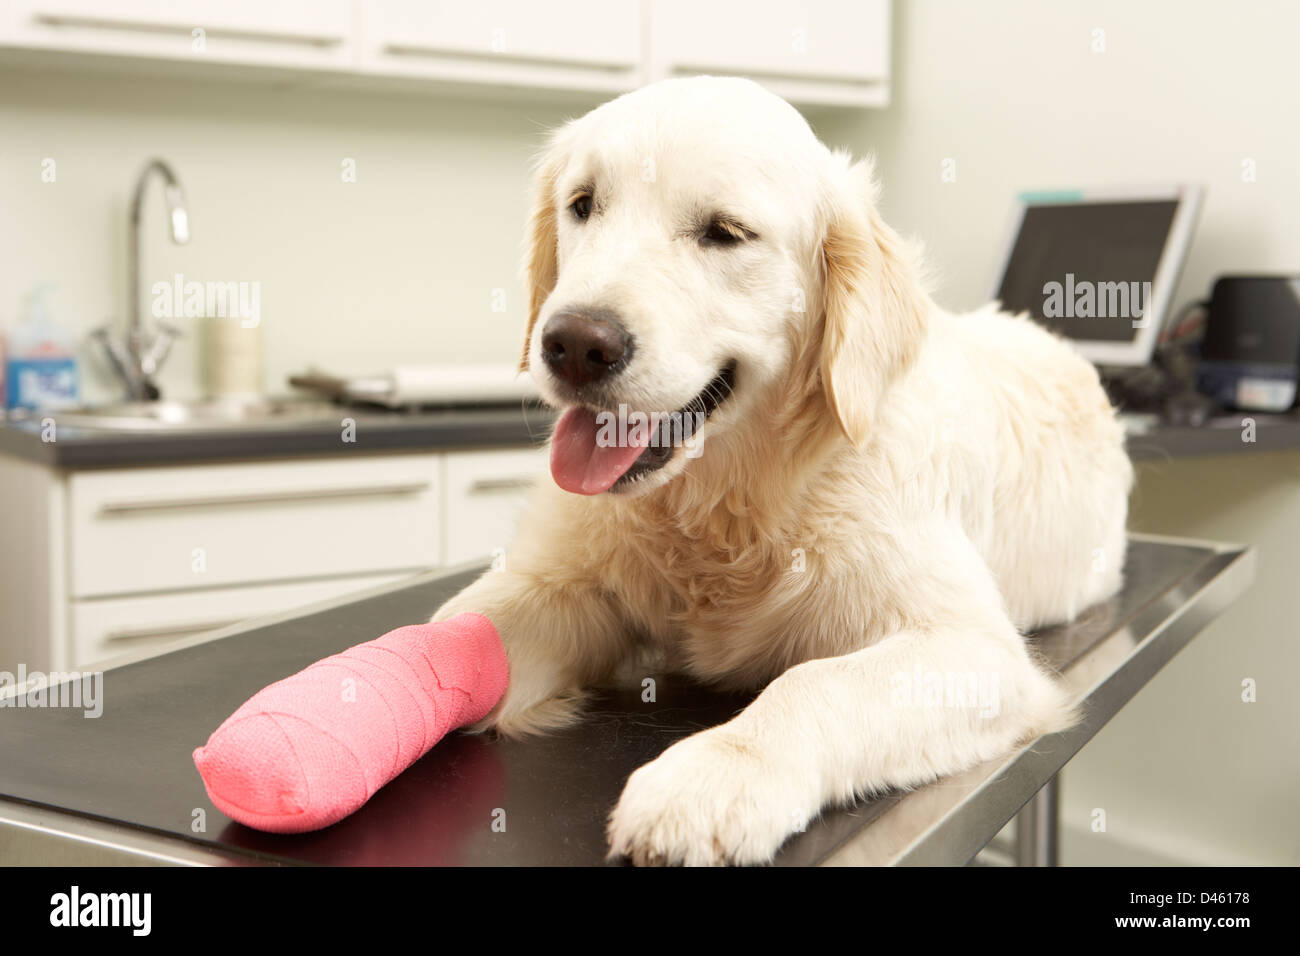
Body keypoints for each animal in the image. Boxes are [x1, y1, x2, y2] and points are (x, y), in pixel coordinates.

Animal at [434, 76, 1128, 868]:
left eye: (725, 232)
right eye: (583, 204)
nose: (574, 344)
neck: (727, 502)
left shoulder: (973, 646)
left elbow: (815, 684)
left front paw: (711, 776)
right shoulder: (557, 583)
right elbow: (456, 633)